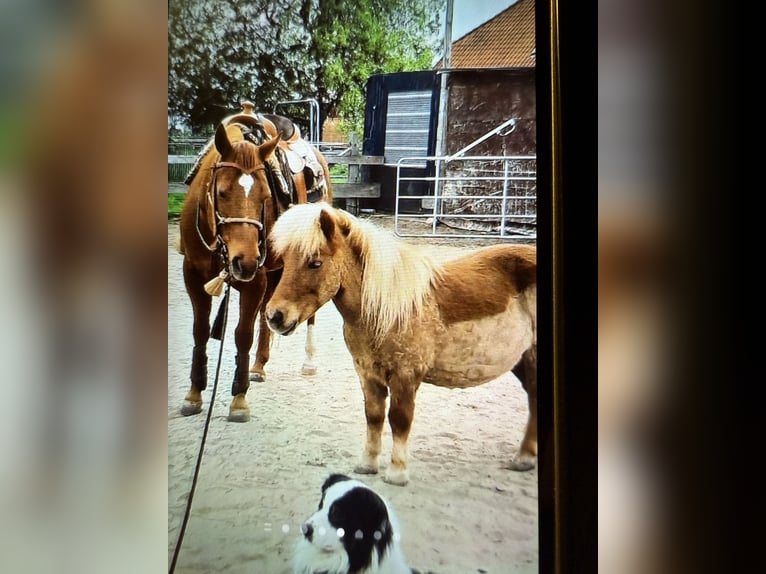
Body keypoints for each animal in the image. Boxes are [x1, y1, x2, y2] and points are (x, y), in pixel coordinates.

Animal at [177, 111, 332, 421]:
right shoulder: (193, 276)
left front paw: (238, 399)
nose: (245, 260)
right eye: (221, 192)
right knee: (266, 313)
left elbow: (242, 335)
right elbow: (200, 331)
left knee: (308, 313)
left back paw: (309, 361)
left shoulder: (253, 280)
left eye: (264, 196)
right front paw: (194, 394)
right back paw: (258, 367)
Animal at [264, 202, 537, 485]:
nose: (274, 316)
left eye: (315, 263)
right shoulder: (368, 375)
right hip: (520, 360)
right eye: (285, 261)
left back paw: (523, 458)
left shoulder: (405, 376)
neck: (386, 311)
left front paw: (397, 472)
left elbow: (399, 419)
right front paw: (367, 465)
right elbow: (373, 417)